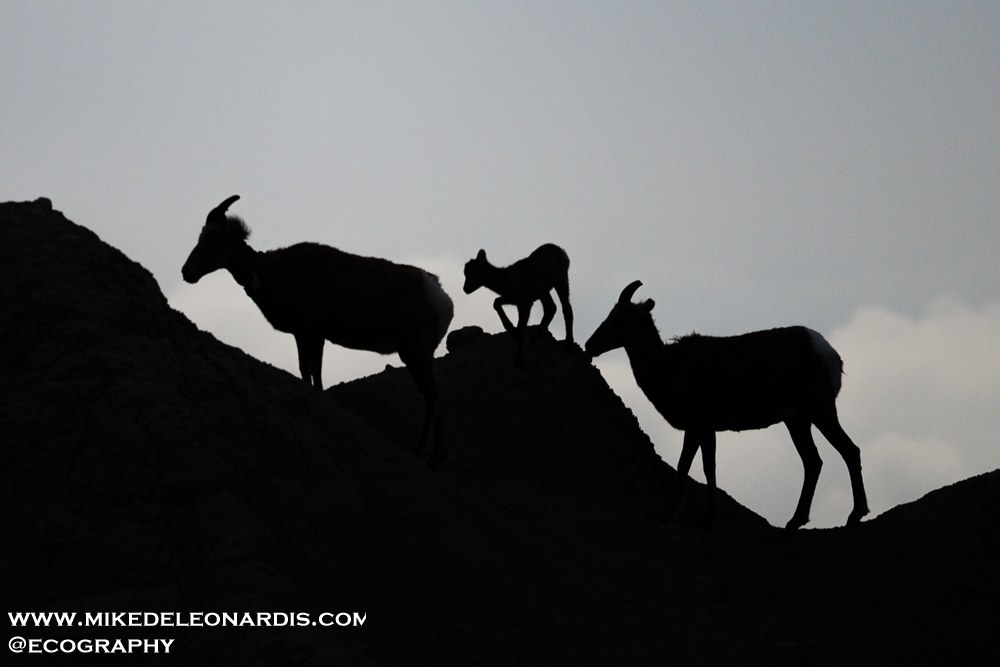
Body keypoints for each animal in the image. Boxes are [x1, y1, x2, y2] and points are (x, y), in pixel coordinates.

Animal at [181, 195, 454, 466]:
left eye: (212, 237)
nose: (187, 272)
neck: (274, 272)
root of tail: (441, 296)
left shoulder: (314, 333)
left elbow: (315, 372)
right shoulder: (302, 335)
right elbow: (306, 371)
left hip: (415, 355)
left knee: (433, 398)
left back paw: (421, 451)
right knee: (437, 397)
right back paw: (439, 457)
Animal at [585, 280, 869, 530]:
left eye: (618, 317)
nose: (590, 345)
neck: (668, 366)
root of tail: (829, 353)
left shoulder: (696, 426)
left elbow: (684, 465)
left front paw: (671, 514)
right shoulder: (708, 430)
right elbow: (709, 467)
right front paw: (709, 516)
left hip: (820, 412)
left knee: (848, 450)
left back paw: (855, 515)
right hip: (797, 421)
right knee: (813, 461)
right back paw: (795, 521)